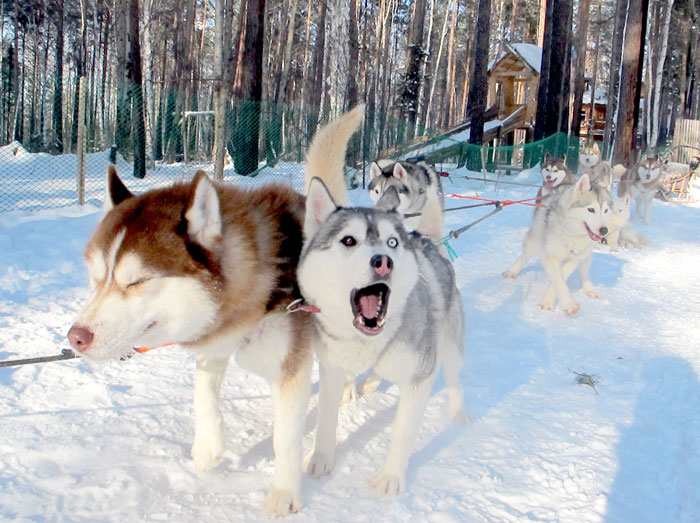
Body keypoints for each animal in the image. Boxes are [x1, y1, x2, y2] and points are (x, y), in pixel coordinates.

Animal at [67, 166, 316, 517]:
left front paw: (285, 491)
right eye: (97, 277)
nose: (76, 337)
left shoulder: (292, 365)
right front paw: (208, 445)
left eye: (138, 281)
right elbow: (203, 392)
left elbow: (286, 436)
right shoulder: (217, 337)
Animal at [298, 106, 468, 497]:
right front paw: (320, 459)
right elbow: (325, 420)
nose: (383, 261)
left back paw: (459, 412)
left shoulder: (420, 377)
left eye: (392, 243)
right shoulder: (330, 368)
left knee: (454, 375)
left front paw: (391, 477)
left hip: (450, 345)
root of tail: (425, 239)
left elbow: (402, 433)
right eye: (348, 240)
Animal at [537, 174, 612, 314]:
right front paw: (568, 304)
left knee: (584, 272)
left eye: (605, 210)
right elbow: (558, 279)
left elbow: (561, 276)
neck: (573, 234)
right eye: (591, 210)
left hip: (586, 256)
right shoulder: (550, 255)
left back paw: (590, 289)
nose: (604, 230)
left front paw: (550, 299)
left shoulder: (575, 258)